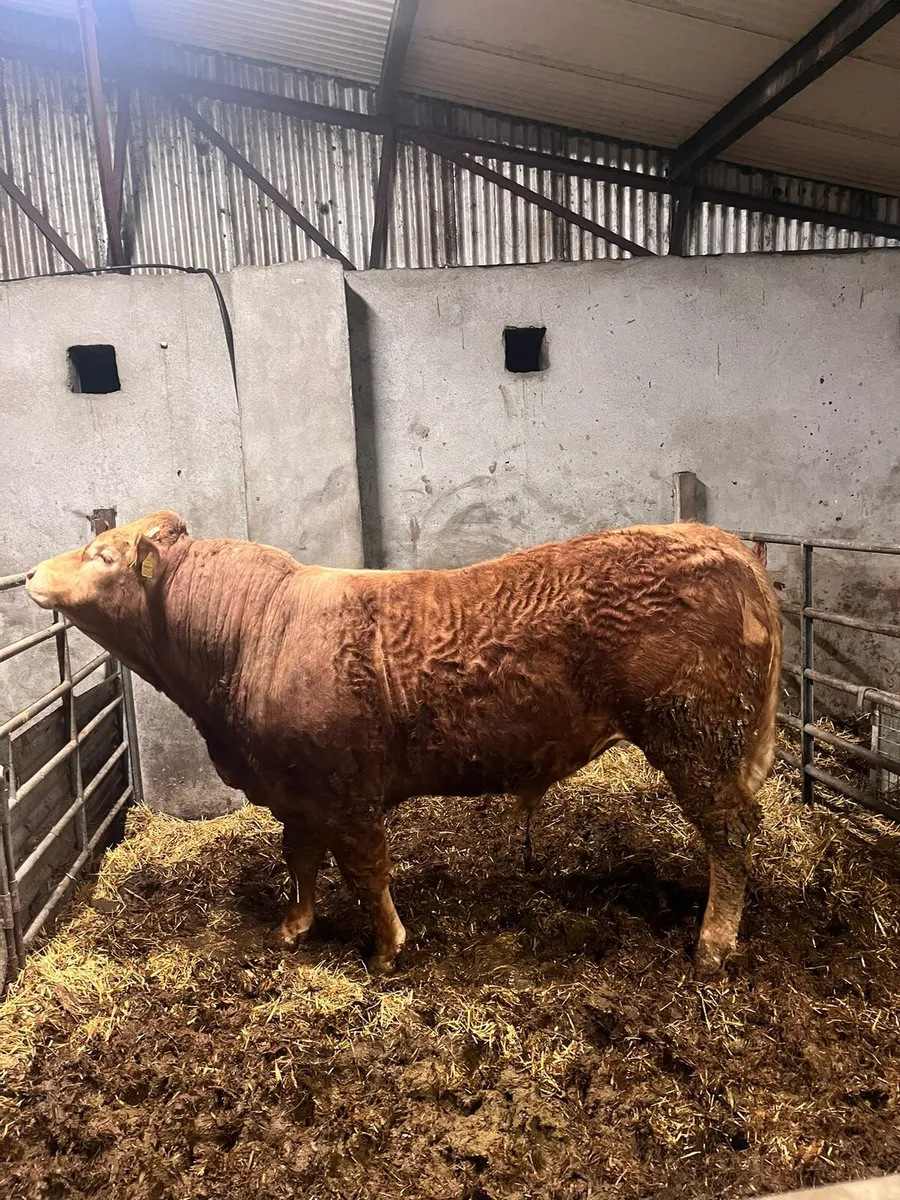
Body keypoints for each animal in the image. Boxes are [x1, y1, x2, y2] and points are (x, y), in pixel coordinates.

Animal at [26, 512, 782, 975]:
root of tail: (723, 543)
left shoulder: (347, 793)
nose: (31, 573)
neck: (252, 635)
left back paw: (713, 944)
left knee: (732, 833)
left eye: (100, 554)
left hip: (696, 737)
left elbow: (366, 871)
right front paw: (293, 927)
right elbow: (299, 859)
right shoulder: (295, 791)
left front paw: (388, 950)